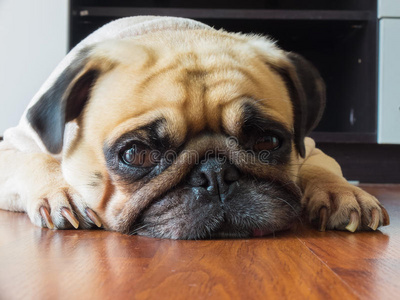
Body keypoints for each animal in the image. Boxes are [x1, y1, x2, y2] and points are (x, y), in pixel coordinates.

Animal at [0, 15, 390, 239]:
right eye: (136, 154)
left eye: (267, 141)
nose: (215, 174)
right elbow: (38, 161)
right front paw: (60, 192)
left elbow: (321, 167)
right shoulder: (14, 146)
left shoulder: (309, 145)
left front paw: (343, 193)